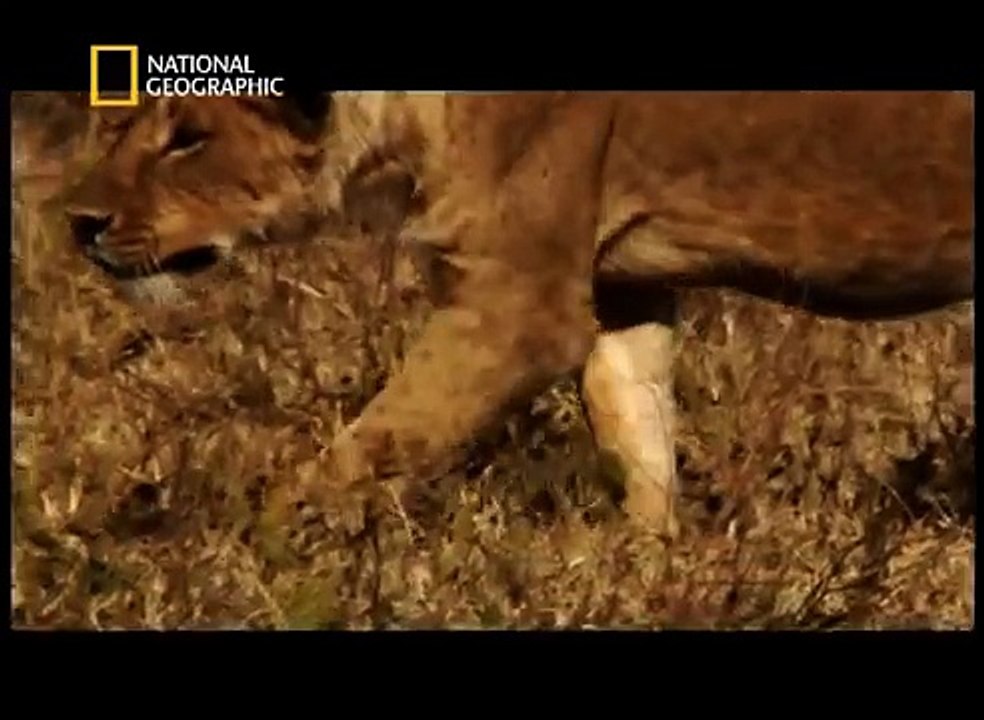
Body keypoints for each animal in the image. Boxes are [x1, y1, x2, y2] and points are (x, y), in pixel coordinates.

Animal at [62, 91, 975, 538]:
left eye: (189, 137)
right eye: (119, 122)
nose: (78, 222)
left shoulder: (516, 306)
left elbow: (369, 445)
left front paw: (252, 548)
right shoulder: (614, 291)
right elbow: (638, 437)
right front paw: (651, 568)